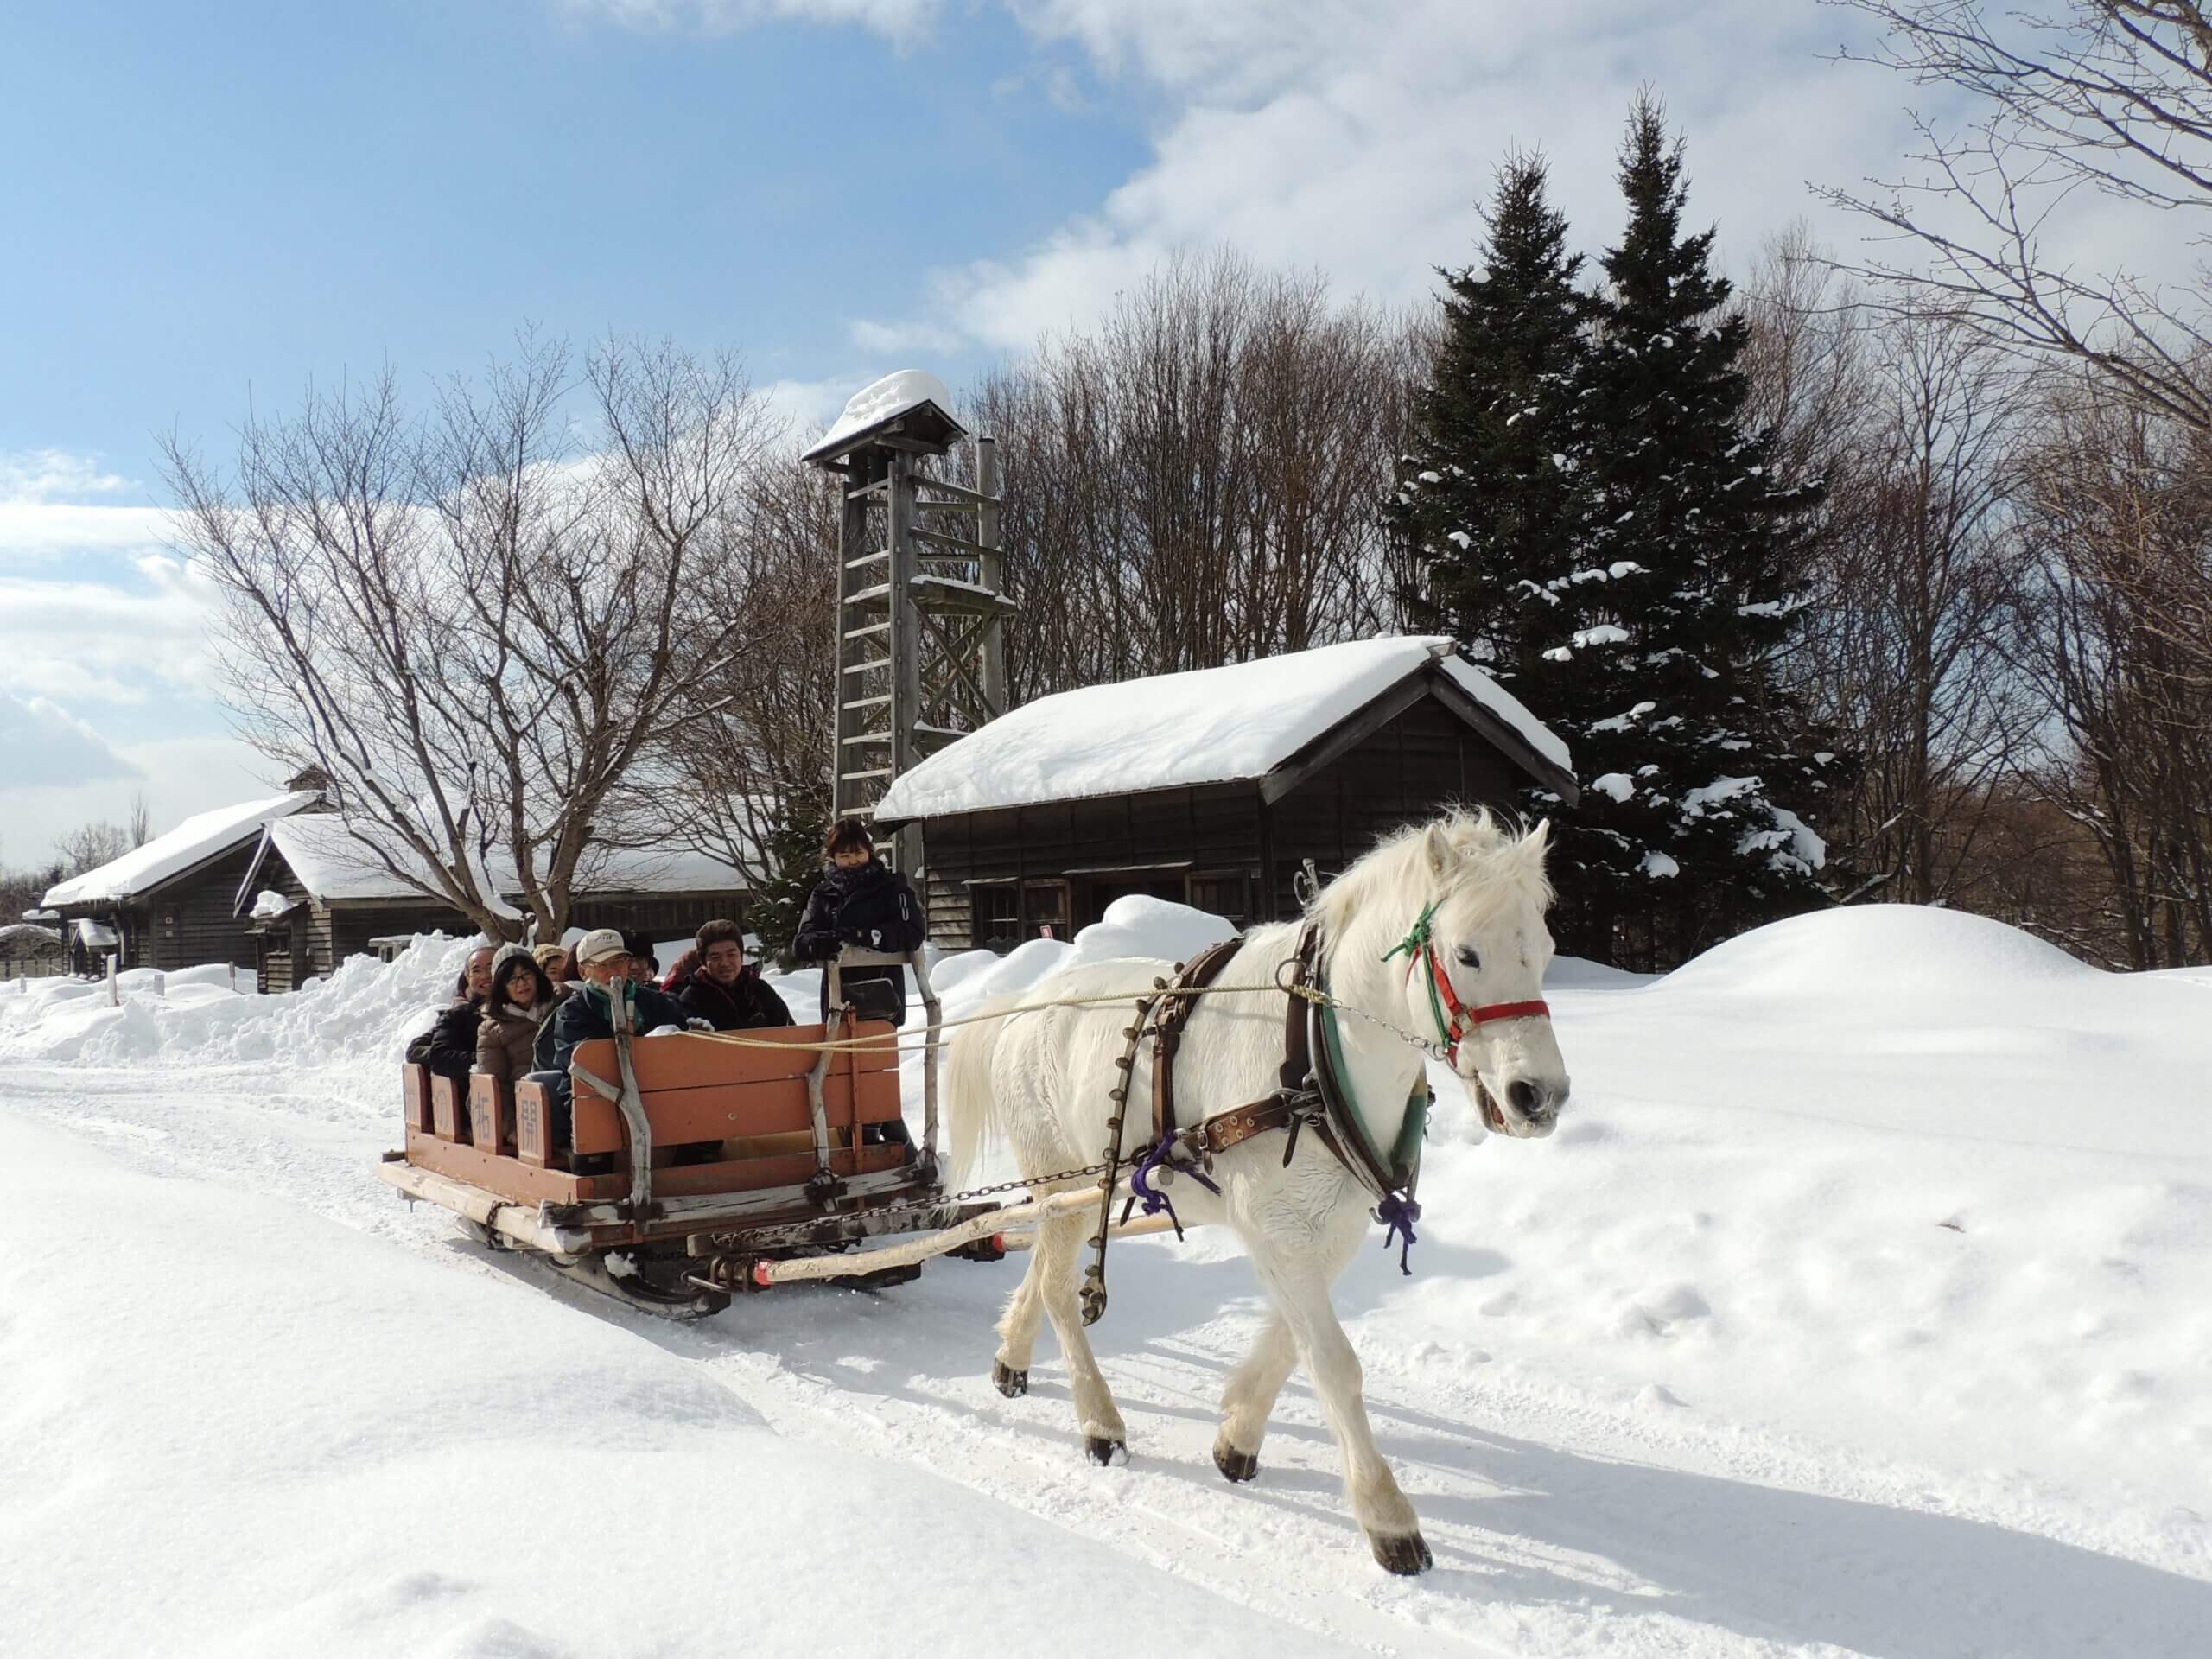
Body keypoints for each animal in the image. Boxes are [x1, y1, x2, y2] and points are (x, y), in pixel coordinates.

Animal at [942, 814, 1566, 1574]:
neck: (1316, 1056)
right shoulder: (1278, 1228)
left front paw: (1237, 1430)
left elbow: (1294, 1342)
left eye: (1544, 950)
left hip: (1078, 1193)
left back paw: (1013, 1355)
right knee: (1062, 1289)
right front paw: (1386, 1515)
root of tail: (1025, 1004)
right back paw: (1099, 1421)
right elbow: (1334, 1362)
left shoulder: (1331, 1226)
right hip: (1064, 1177)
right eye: (1467, 954)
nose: (1539, 1095)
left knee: (1040, 1267)